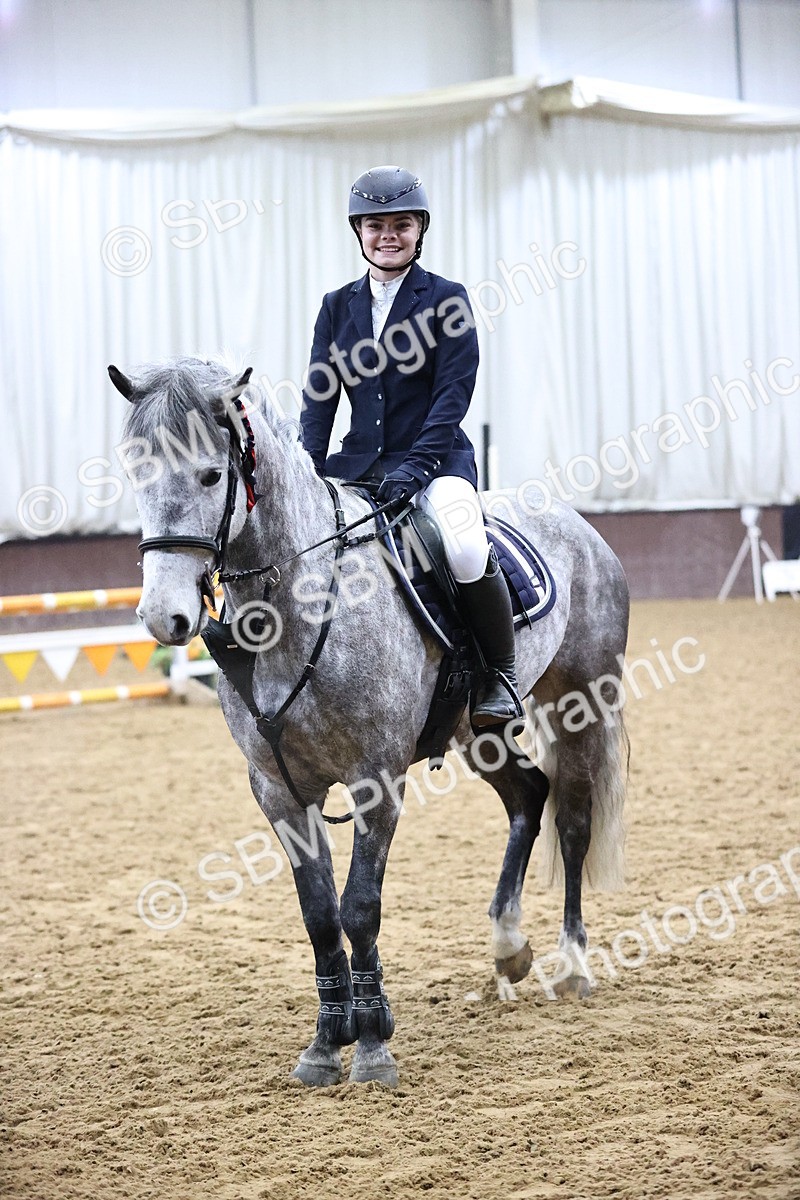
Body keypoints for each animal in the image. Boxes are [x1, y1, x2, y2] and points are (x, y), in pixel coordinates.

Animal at [110, 356, 630, 1089]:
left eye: (212, 476)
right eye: (137, 475)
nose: (164, 617)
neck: (299, 606)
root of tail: (575, 522)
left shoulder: (376, 779)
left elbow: (360, 907)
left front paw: (375, 1042)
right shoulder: (278, 790)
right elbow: (320, 915)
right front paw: (327, 1041)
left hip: (583, 700)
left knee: (575, 818)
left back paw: (574, 964)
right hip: (480, 732)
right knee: (529, 797)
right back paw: (508, 947)